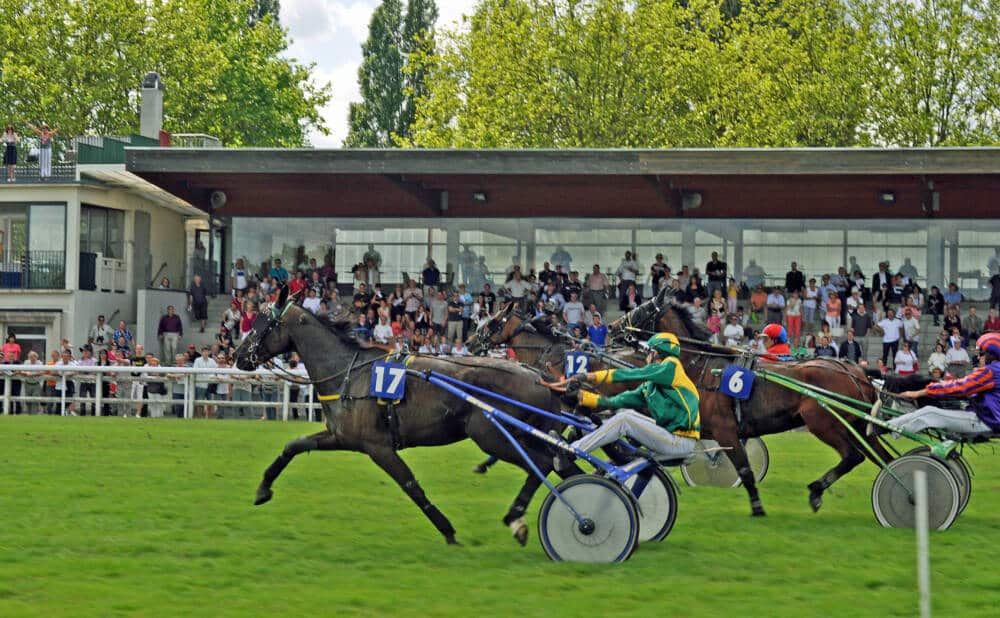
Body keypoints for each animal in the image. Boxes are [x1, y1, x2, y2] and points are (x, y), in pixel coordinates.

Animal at [235, 288, 580, 544]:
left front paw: (447, 530)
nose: (239, 356)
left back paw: (519, 518)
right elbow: (293, 445)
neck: (349, 373)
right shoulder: (341, 436)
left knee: (542, 464)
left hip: (493, 436)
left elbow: (411, 485)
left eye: (261, 323)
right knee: (562, 464)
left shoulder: (378, 447)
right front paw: (263, 489)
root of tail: (539, 376)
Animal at [608, 292, 900, 512]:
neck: (701, 367)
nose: (611, 328)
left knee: (853, 456)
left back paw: (817, 491)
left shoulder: (725, 430)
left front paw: (757, 507)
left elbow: (744, 470)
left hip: (823, 423)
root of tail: (856, 372)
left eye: (641, 309)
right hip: (859, 426)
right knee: (884, 459)